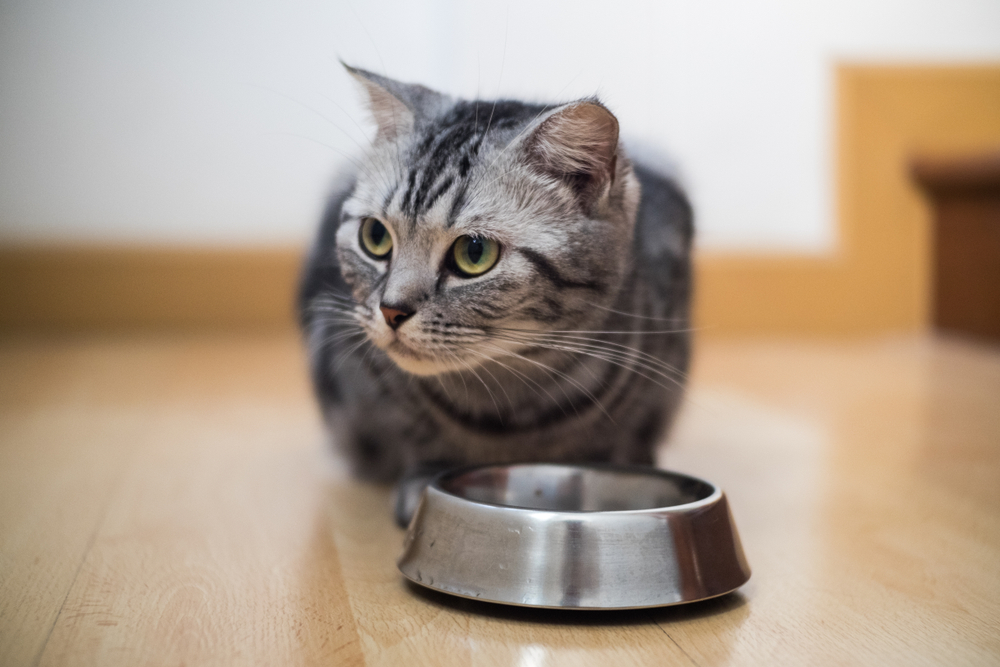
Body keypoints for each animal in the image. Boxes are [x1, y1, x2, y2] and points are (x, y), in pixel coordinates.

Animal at [296, 66, 692, 528]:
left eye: (474, 253)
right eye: (375, 237)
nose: (391, 310)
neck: (508, 410)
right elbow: (414, 433)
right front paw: (425, 477)